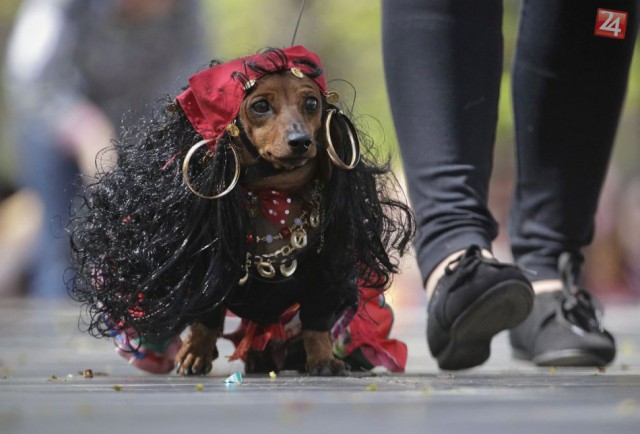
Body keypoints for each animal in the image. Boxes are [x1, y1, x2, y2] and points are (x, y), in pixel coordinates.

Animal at [67, 47, 412, 376]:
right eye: (260, 106)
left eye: (312, 102)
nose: (301, 141)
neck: (274, 195)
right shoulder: (206, 271)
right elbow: (206, 318)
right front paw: (196, 352)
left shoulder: (327, 273)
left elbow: (317, 324)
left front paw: (323, 358)